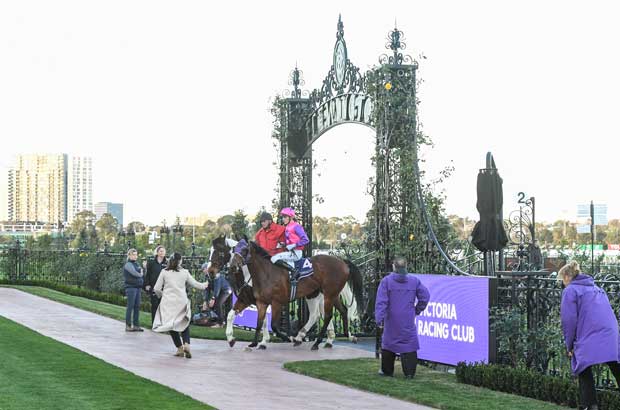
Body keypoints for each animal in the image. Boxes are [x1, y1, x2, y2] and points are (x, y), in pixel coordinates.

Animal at [209, 235, 364, 348]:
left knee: (326, 315)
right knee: (335, 312)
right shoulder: (250, 300)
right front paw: (234, 339)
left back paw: (316, 341)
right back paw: (336, 337)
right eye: (234, 249)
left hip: (328, 295)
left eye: (220, 252)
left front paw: (273, 339)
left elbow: (270, 324)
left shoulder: (275, 302)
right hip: (322, 294)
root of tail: (342, 262)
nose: (210, 271)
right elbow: (237, 316)